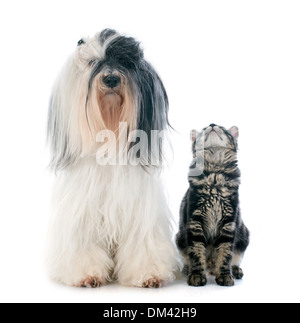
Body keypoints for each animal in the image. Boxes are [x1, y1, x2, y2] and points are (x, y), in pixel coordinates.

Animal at [45, 29, 179, 288]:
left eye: (125, 62)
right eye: (91, 62)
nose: (110, 79)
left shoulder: (140, 214)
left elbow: (142, 244)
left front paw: (149, 274)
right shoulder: (82, 215)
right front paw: (87, 274)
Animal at [176, 123, 248, 286]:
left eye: (222, 127)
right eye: (204, 129)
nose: (212, 124)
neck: (215, 175)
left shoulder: (229, 223)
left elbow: (225, 254)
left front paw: (224, 276)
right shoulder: (195, 221)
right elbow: (196, 253)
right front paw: (196, 275)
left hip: (244, 235)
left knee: (234, 259)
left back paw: (234, 270)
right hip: (179, 238)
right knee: (188, 258)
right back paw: (187, 269)